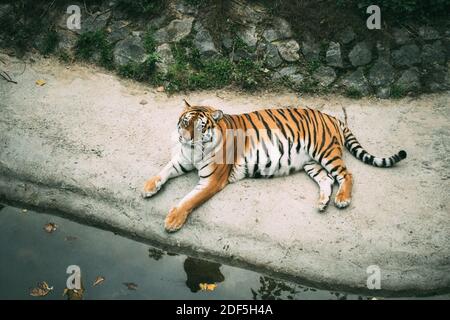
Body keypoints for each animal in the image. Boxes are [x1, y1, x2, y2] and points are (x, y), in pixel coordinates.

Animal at [144, 100, 408, 232]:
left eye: (200, 128)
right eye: (184, 123)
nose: (185, 138)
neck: (194, 151)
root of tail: (331, 116)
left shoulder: (212, 180)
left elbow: (189, 200)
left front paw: (172, 221)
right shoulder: (181, 160)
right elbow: (164, 170)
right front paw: (149, 186)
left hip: (325, 152)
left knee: (346, 174)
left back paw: (342, 199)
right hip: (311, 162)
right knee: (327, 179)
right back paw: (323, 202)